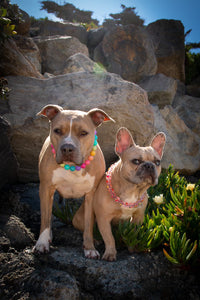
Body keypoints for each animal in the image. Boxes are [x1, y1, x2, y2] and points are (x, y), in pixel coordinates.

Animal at [34, 103, 114, 258]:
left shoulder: (91, 195)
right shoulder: (45, 189)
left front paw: (89, 248)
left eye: (83, 133)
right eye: (57, 131)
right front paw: (42, 243)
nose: (67, 148)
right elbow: (45, 220)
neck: (72, 167)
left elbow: (88, 224)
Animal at [92, 126, 166, 260]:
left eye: (157, 162)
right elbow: (109, 238)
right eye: (136, 161)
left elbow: (133, 234)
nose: (149, 165)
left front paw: (133, 249)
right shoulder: (103, 218)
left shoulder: (138, 217)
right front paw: (110, 253)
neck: (132, 189)